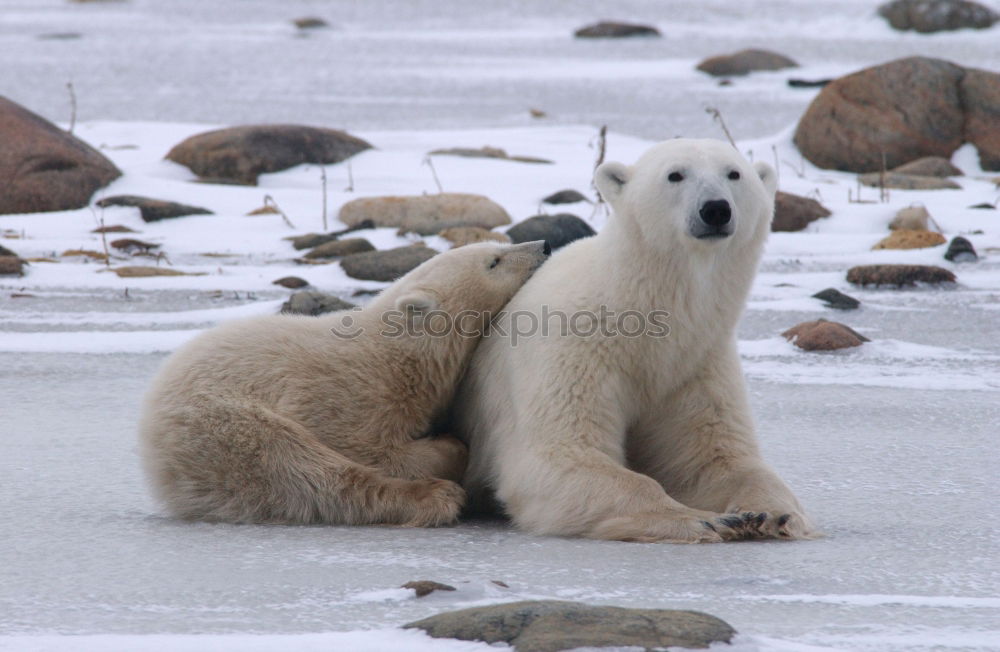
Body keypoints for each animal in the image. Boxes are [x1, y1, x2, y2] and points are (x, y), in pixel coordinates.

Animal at [137, 242, 548, 528]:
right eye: (494, 260)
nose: (541, 246)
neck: (400, 357)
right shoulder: (344, 390)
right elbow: (365, 447)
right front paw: (446, 448)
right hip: (218, 427)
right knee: (300, 470)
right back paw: (433, 497)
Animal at [454, 139, 812, 544]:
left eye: (734, 173)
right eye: (675, 174)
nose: (716, 209)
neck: (636, 316)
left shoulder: (695, 362)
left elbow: (714, 457)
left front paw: (772, 514)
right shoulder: (572, 350)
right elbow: (564, 453)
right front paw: (703, 520)